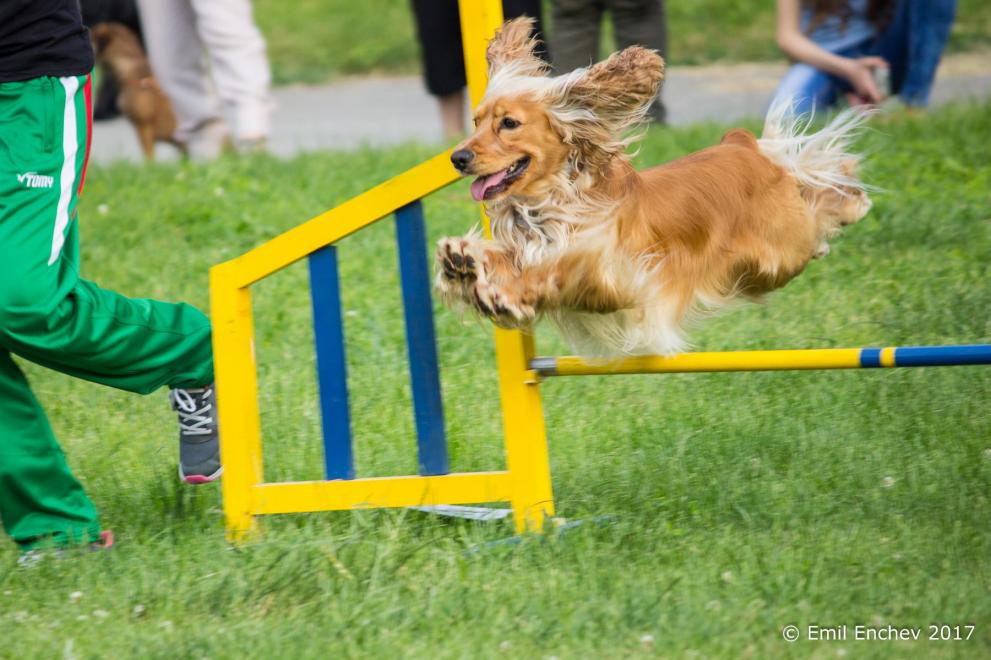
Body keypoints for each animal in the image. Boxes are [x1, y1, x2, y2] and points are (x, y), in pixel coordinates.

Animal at [438, 18, 872, 356]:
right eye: (476, 121)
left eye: (509, 123)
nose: (457, 157)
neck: (551, 201)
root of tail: (742, 144)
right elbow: (506, 259)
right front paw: (462, 262)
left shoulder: (614, 275)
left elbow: (554, 271)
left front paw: (502, 294)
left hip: (783, 250)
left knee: (819, 200)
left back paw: (854, 200)